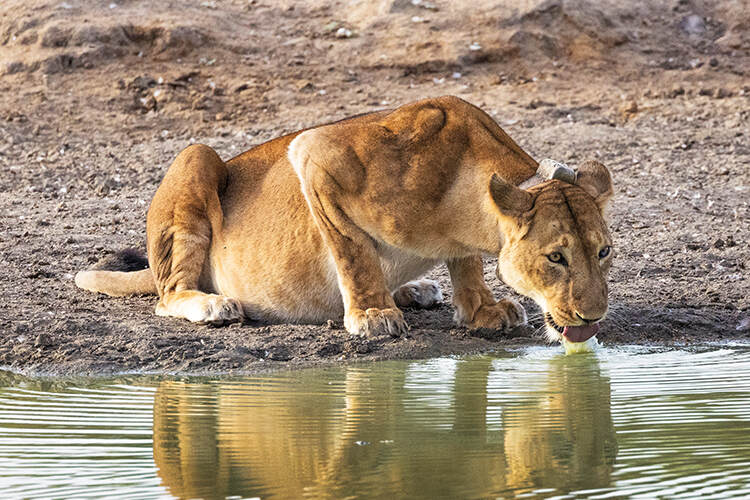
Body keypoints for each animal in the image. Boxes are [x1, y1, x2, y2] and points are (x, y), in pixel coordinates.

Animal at [78, 95, 616, 342]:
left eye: (604, 251)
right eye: (556, 257)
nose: (593, 318)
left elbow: (465, 264)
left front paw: (482, 308)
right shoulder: (316, 155)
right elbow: (353, 253)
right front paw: (373, 316)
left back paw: (415, 290)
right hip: (197, 156)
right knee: (167, 295)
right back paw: (211, 304)